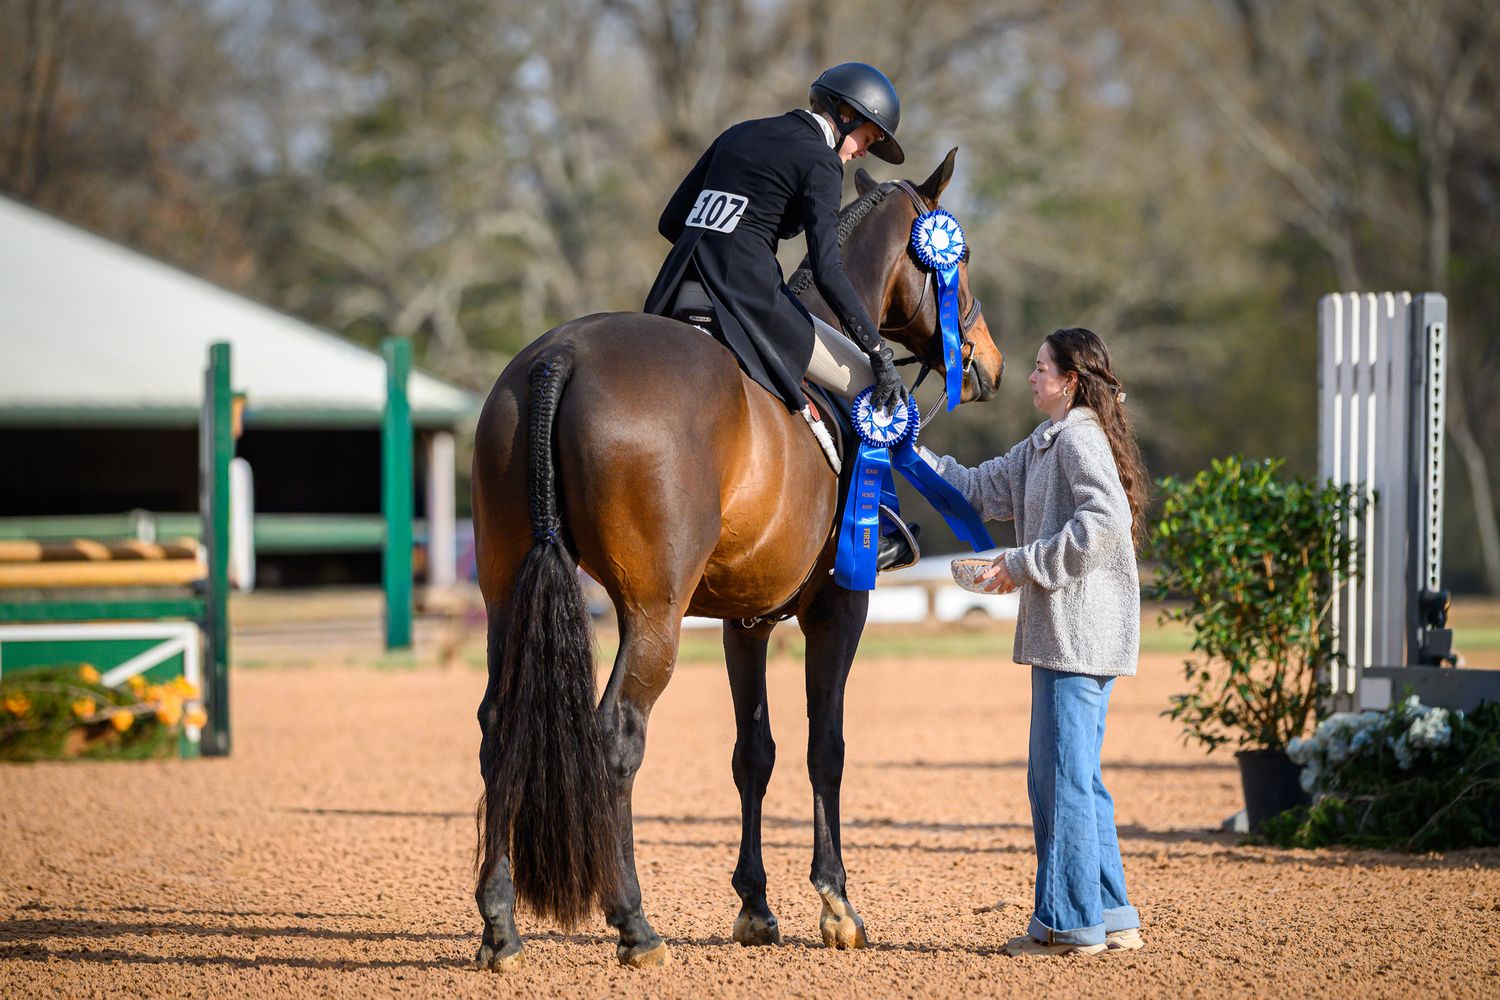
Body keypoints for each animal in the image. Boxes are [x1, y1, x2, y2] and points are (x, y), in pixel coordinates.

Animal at [470, 148, 1003, 971]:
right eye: (959, 255)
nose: (988, 364)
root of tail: (559, 355)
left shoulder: (742, 622)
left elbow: (753, 752)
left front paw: (755, 907)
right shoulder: (838, 609)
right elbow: (825, 748)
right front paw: (836, 904)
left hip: (506, 594)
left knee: (500, 728)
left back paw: (500, 925)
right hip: (652, 614)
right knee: (615, 735)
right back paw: (634, 924)